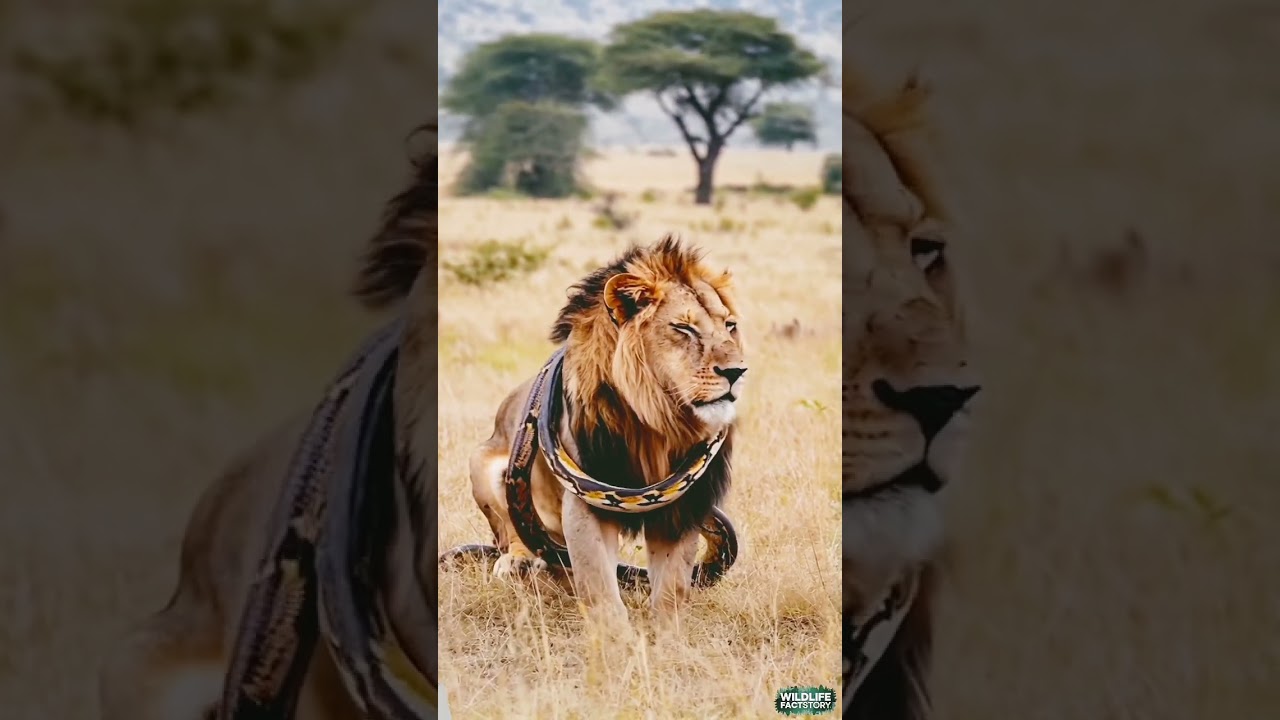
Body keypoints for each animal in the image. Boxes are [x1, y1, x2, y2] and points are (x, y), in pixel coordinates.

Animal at [466, 236, 747, 625]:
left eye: (730, 326)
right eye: (684, 328)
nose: (737, 372)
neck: (657, 422)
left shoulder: (683, 505)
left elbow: (672, 588)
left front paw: (666, 635)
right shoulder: (588, 503)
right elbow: (601, 590)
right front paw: (617, 638)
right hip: (484, 462)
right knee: (511, 535)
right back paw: (518, 561)